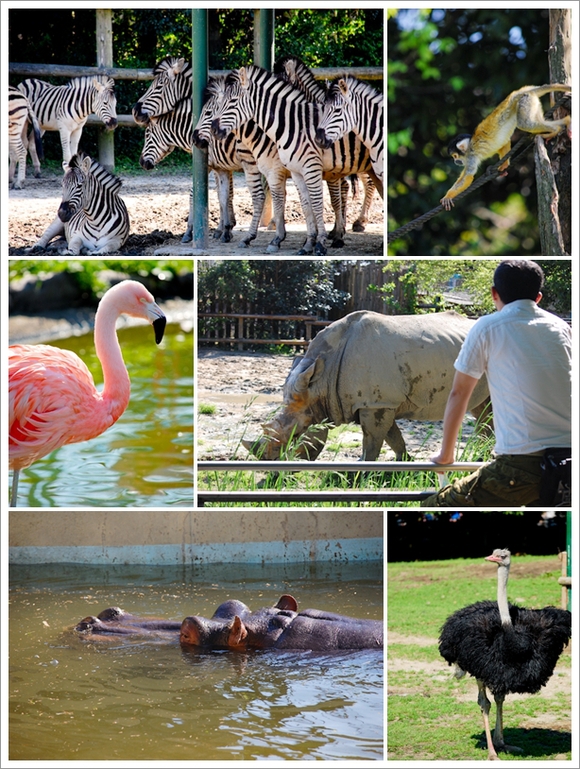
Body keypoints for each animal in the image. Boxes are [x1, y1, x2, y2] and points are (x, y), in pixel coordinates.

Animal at [211, 63, 378, 255]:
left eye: (232, 101)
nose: (213, 130)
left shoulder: (290, 170)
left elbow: (292, 202)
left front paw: (291, 240)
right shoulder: (294, 171)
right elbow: (302, 203)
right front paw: (307, 240)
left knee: (366, 185)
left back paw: (357, 223)